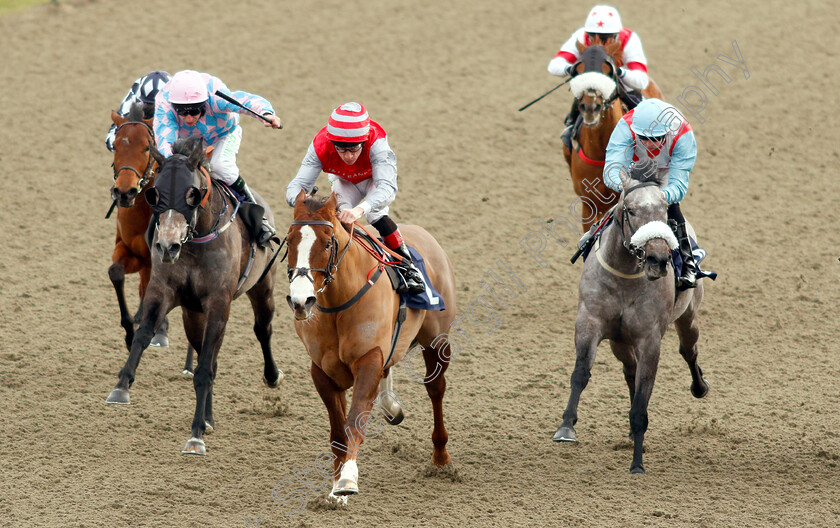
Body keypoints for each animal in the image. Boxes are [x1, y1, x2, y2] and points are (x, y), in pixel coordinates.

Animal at [106, 134, 284, 456]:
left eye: (192, 194)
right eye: (156, 194)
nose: (167, 245)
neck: (198, 238)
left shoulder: (218, 304)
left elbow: (203, 370)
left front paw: (196, 435)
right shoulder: (163, 290)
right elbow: (144, 335)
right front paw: (121, 386)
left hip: (262, 287)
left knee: (262, 329)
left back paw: (272, 376)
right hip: (193, 314)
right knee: (208, 355)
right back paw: (209, 417)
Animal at [288, 192, 460, 502]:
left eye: (328, 242)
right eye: (289, 240)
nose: (300, 300)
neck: (339, 303)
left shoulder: (368, 360)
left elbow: (354, 420)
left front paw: (347, 479)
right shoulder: (322, 370)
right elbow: (337, 432)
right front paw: (336, 490)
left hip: (437, 340)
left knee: (435, 388)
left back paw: (441, 457)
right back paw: (391, 407)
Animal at [552, 162, 708, 474]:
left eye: (664, 210)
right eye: (631, 210)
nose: (658, 259)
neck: (624, 276)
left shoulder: (650, 340)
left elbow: (642, 399)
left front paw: (637, 463)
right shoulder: (589, 322)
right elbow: (580, 374)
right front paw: (566, 427)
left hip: (687, 317)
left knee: (688, 350)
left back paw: (700, 387)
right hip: (619, 342)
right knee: (630, 371)